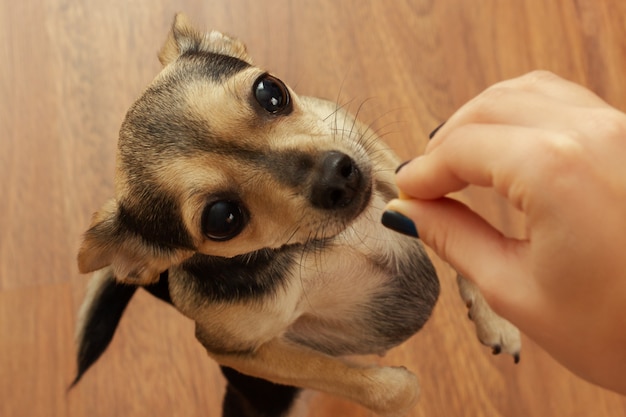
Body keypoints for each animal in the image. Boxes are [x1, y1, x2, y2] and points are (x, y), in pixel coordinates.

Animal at [73, 14, 520, 416]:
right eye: (222, 219)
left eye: (271, 92)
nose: (337, 176)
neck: (321, 242)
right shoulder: (239, 351)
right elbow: (363, 381)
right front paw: (395, 382)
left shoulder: (372, 151)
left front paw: (495, 317)